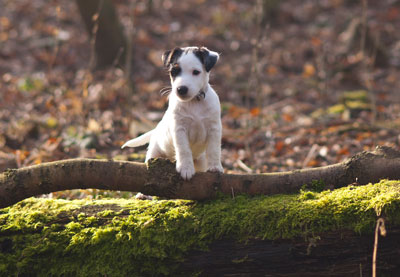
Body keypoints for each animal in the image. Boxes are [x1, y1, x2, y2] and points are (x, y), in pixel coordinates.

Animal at [120, 46, 223, 180]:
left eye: (196, 72)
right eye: (174, 71)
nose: (181, 89)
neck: (193, 102)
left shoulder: (214, 129)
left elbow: (214, 149)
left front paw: (215, 167)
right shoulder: (179, 129)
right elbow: (183, 149)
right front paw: (186, 168)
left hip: (200, 162)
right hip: (154, 152)